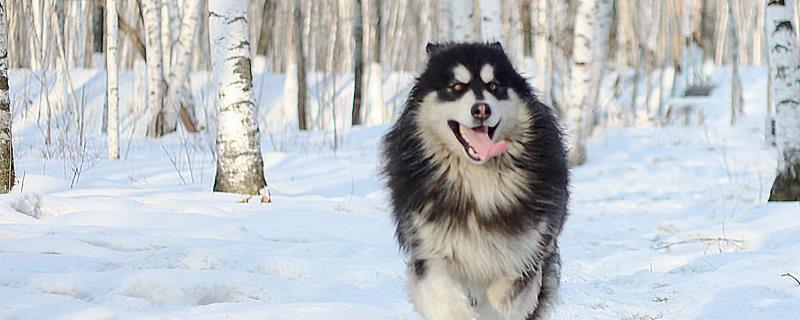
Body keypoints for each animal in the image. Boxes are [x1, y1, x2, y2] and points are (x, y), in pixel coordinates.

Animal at [382, 43, 564, 320]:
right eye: (457, 87)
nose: (481, 109)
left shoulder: (531, 251)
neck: (479, 180)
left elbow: (506, 293)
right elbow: (447, 300)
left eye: (494, 86)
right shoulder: (429, 252)